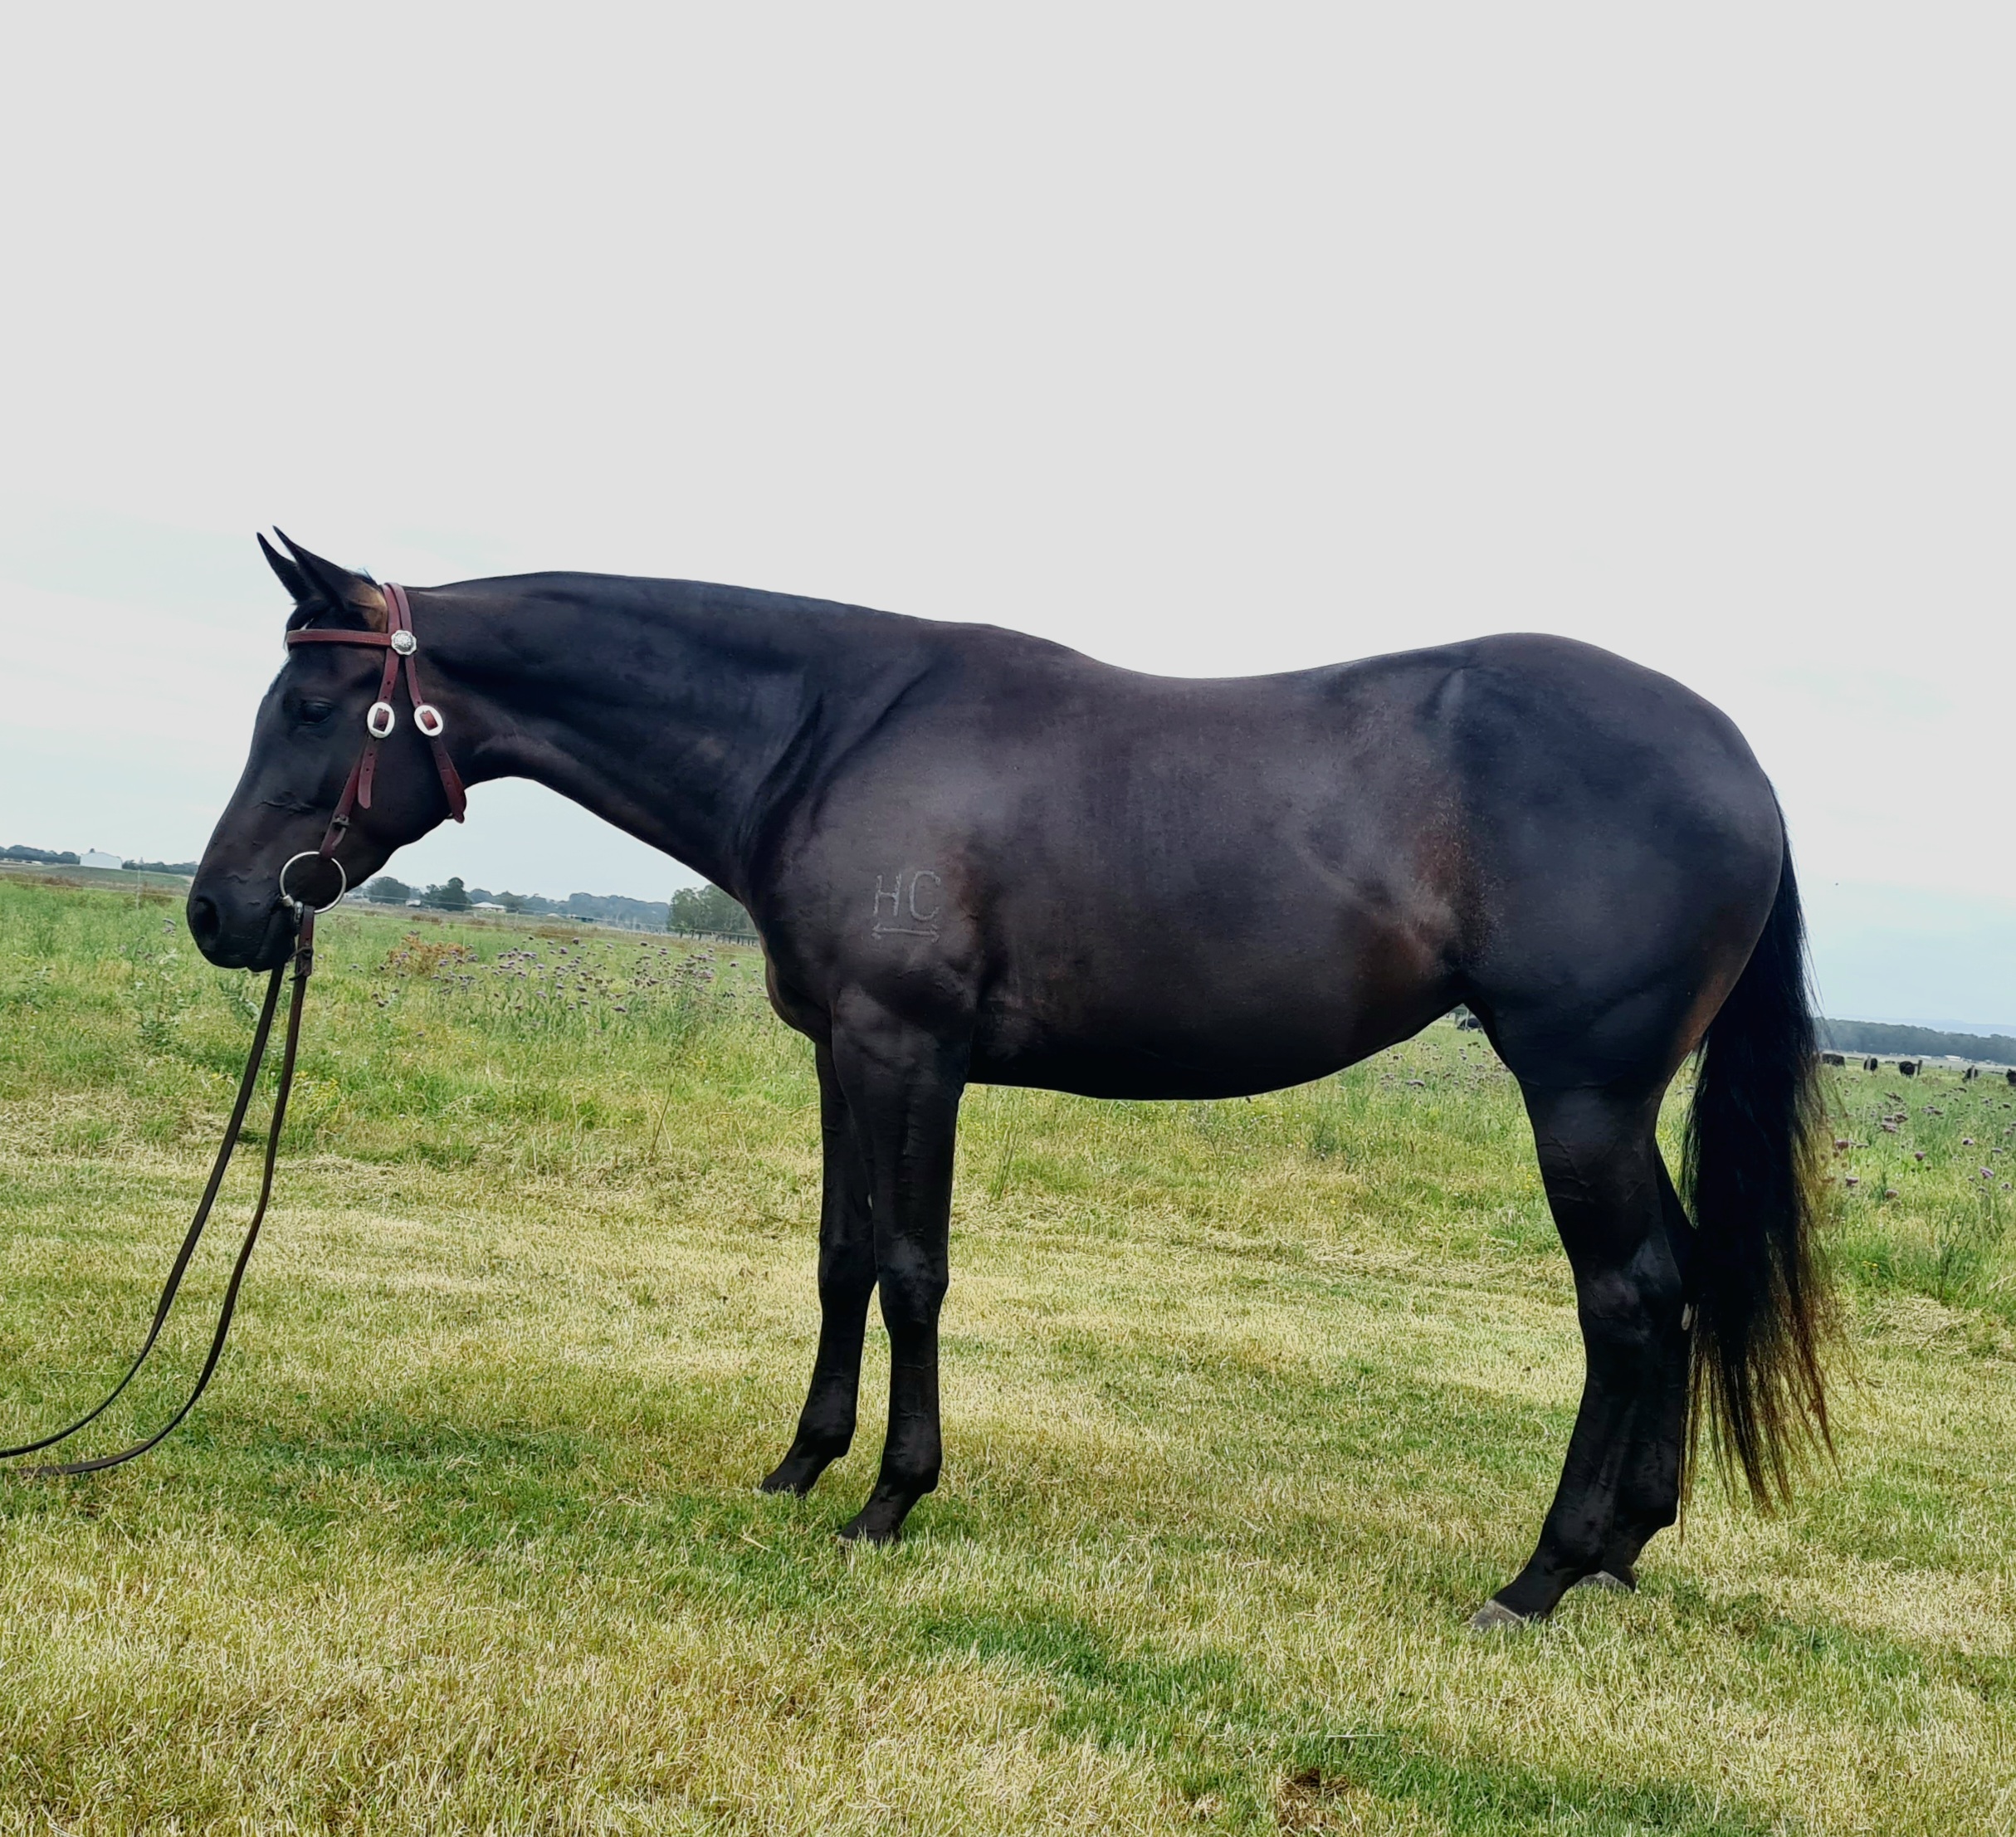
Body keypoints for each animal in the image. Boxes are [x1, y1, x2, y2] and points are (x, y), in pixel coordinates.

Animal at [188, 533, 1835, 1628]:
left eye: (315, 712)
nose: (222, 913)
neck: (827, 733)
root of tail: (1742, 765)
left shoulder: (911, 1048)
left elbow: (912, 1266)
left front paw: (889, 1498)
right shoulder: (842, 1048)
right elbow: (841, 1253)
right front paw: (800, 1466)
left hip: (1579, 1095)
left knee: (1627, 1298)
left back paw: (1537, 1574)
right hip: (1615, 1103)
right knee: (1681, 1279)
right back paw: (1623, 1546)